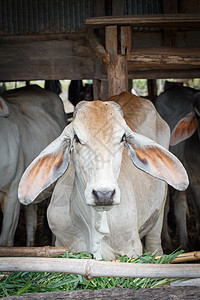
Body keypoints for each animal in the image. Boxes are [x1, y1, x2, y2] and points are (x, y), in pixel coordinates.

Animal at [155, 85, 200, 251]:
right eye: (198, 115)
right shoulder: (194, 179)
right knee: (167, 204)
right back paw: (167, 242)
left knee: (180, 203)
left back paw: (184, 243)